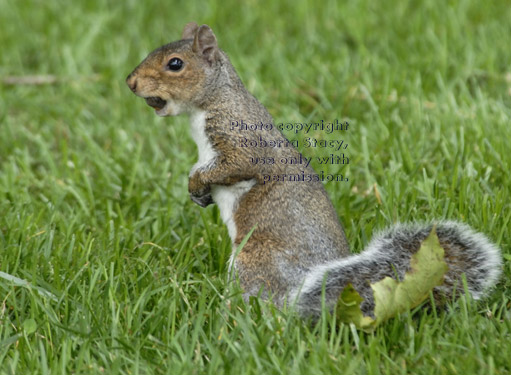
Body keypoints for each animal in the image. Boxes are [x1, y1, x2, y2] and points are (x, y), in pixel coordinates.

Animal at [127, 22, 504, 320]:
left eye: (175, 64)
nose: (130, 83)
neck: (210, 102)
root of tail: (302, 294)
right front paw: (197, 192)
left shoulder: (240, 137)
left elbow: (237, 164)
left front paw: (198, 181)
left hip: (254, 258)